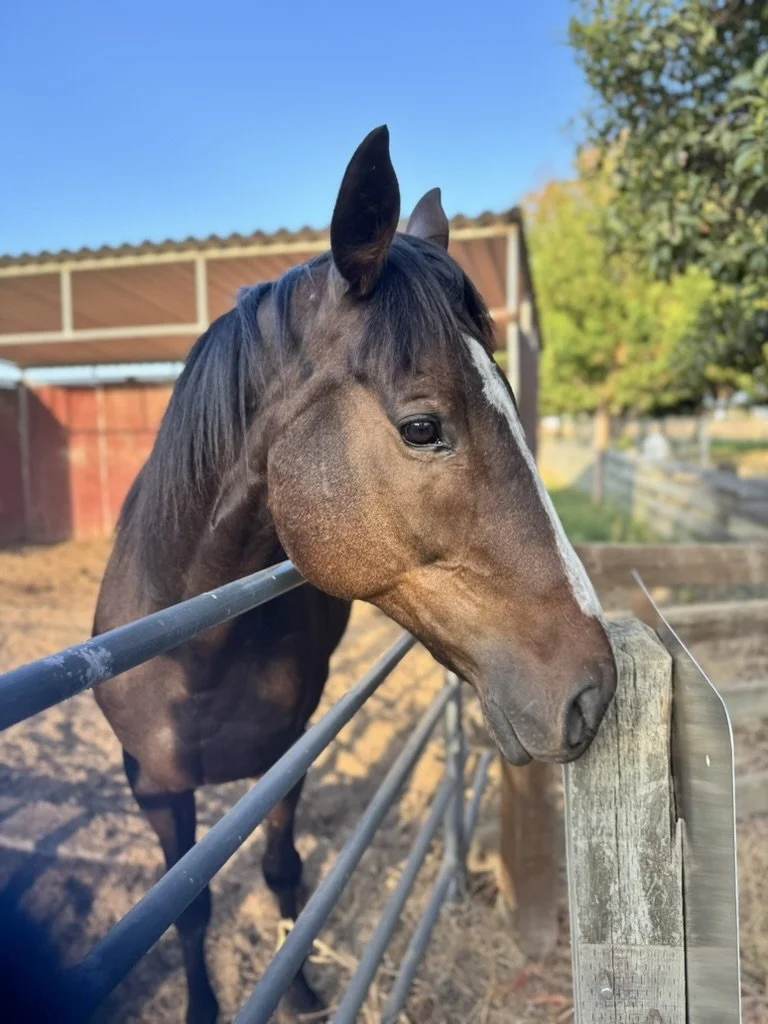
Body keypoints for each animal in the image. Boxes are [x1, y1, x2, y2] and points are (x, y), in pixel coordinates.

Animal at [93, 125, 616, 1023]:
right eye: (422, 427)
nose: (596, 689)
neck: (192, 649)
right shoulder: (154, 788)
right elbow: (188, 907)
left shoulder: (286, 763)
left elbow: (282, 872)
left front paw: (300, 991)